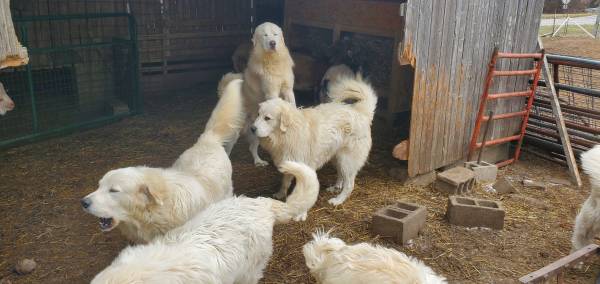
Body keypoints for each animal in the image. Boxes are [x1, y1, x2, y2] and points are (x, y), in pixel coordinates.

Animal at [240, 22, 294, 168]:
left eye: (275, 34)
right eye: (265, 35)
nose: (272, 43)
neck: (273, 60)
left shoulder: (288, 90)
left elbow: (292, 104)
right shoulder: (272, 92)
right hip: (257, 128)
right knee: (252, 147)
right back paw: (259, 161)